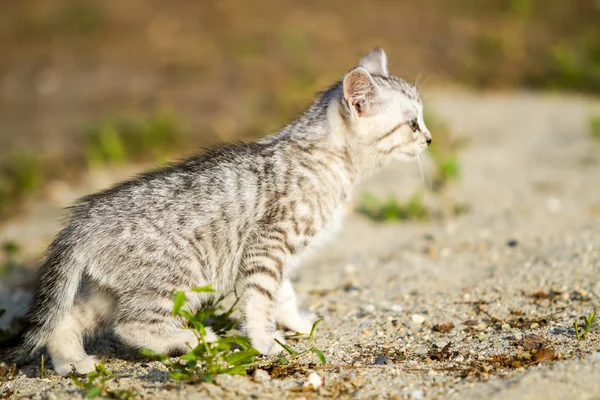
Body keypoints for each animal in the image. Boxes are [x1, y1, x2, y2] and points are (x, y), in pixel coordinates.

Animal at [0, 47, 432, 376]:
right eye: (412, 124)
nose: (429, 139)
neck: (326, 157)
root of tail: (81, 223)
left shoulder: (275, 253)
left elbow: (282, 294)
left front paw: (297, 323)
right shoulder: (269, 242)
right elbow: (261, 299)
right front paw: (264, 340)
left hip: (112, 288)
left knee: (65, 319)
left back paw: (73, 363)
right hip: (181, 275)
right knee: (131, 325)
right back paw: (192, 339)